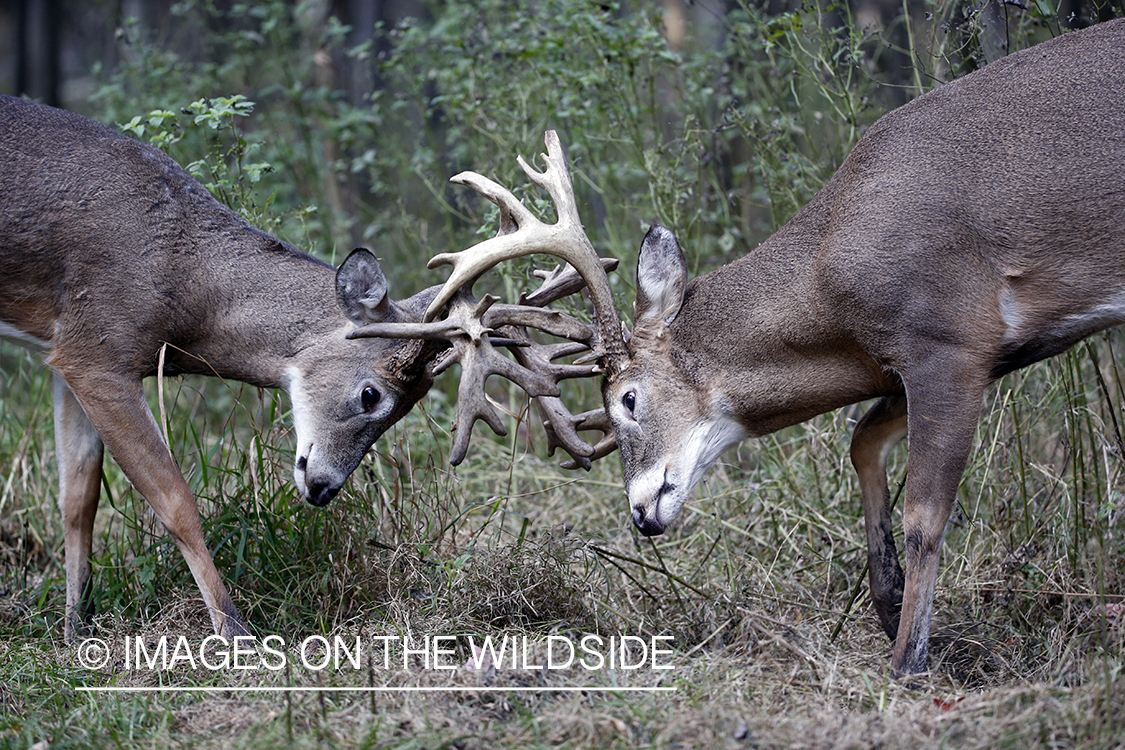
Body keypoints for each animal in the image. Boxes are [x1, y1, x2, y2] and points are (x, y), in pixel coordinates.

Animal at [0, 93, 450, 643]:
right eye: (372, 394)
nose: (323, 489)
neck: (189, 285)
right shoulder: (101, 350)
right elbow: (174, 500)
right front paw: (235, 631)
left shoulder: (68, 353)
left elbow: (77, 500)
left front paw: (74, 630)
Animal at [355, 17, 1125, 679]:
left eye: (625, 398)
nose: (640, 514)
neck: (832, 274)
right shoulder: (968, 355)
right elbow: (861, 440)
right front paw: (885, 609)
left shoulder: (949, 338)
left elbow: (926, 516)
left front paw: (908, 662)